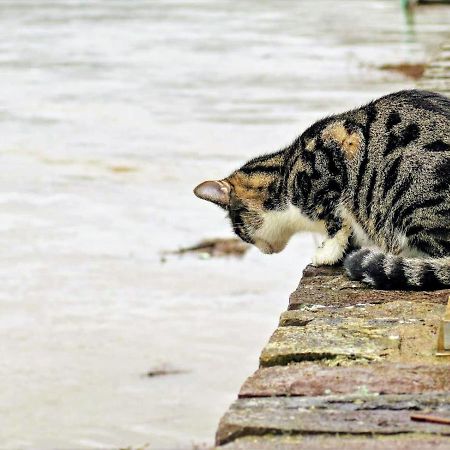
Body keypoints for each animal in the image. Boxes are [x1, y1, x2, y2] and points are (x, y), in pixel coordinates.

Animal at [193, 89, 450, 290]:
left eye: (240, 232)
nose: (263, 251)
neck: (284, 177)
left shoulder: (333, 168)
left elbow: (337, 222)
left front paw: (326, 254)